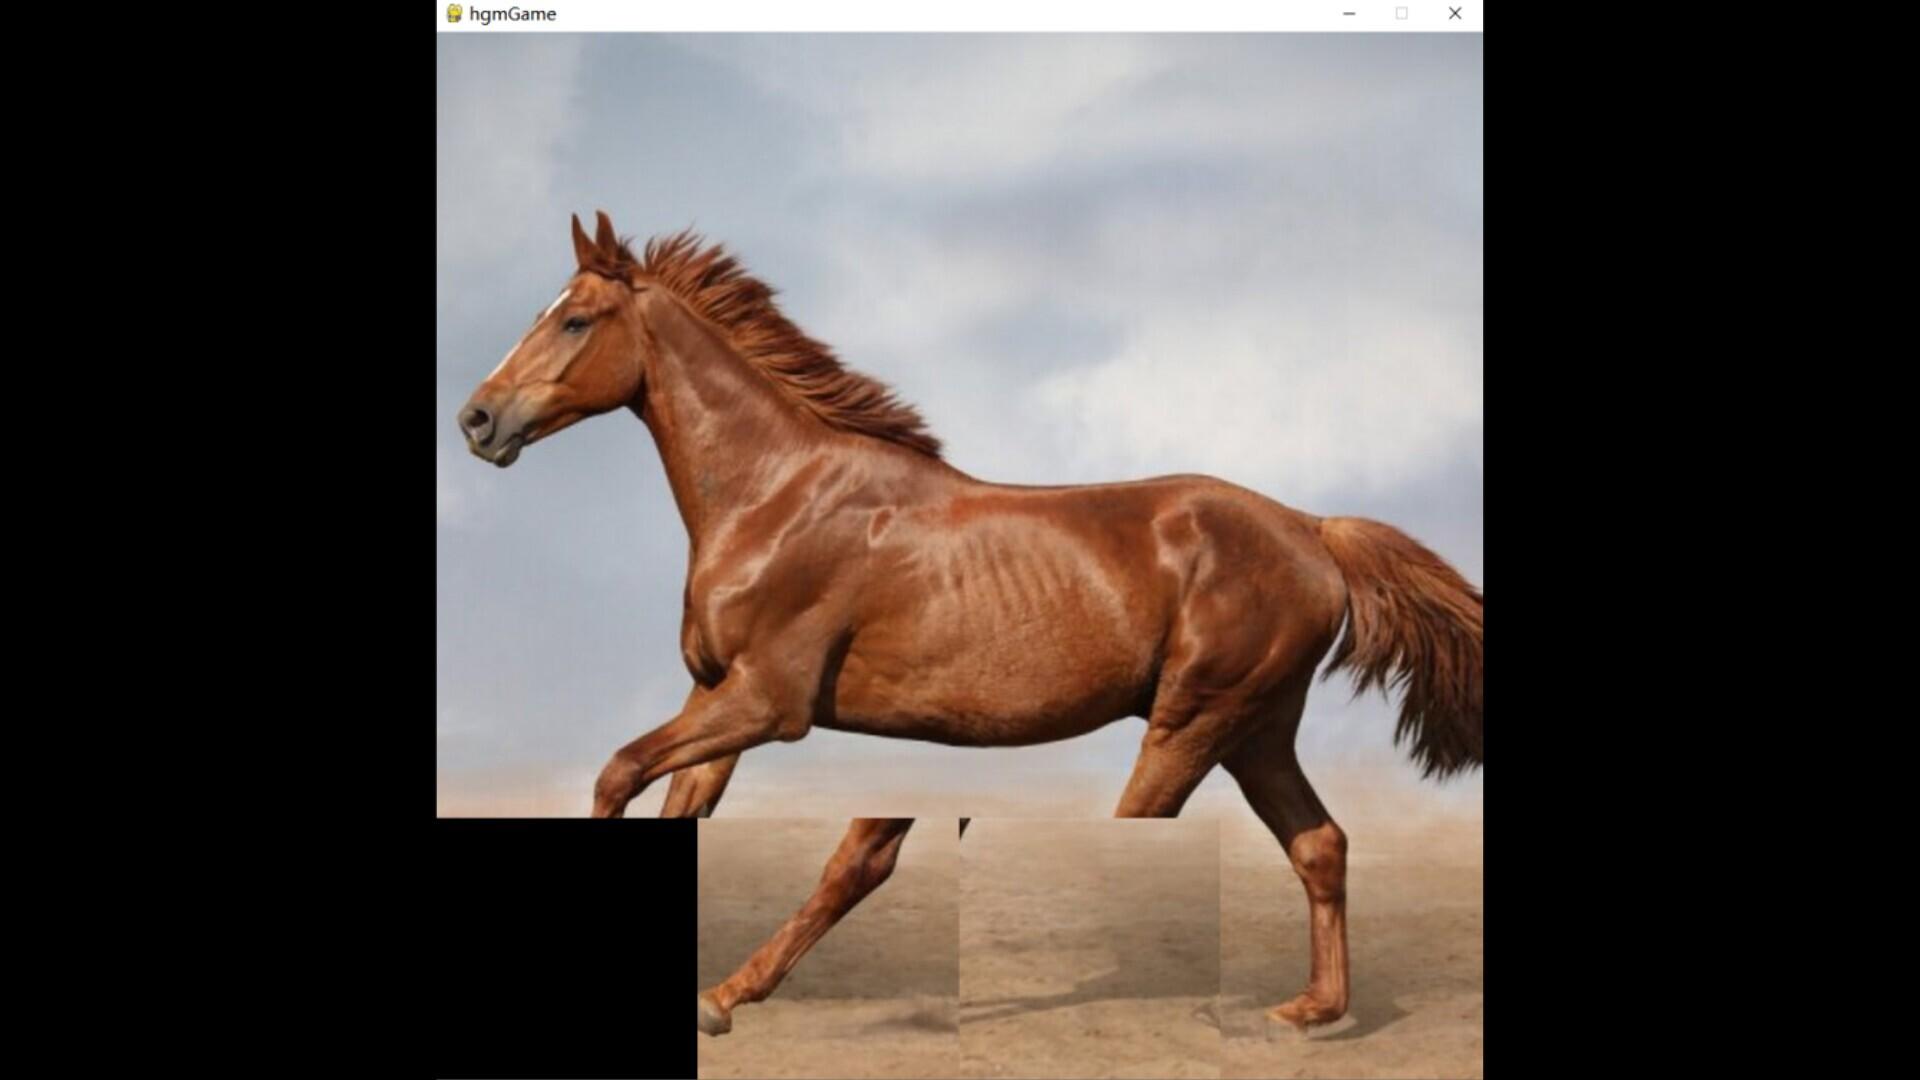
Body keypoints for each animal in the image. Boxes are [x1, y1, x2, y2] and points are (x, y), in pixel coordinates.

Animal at [457, 211, 1484, 1035]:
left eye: (574, 319)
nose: (477, 420)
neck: (777, 496)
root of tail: (1313, 529)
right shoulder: (717, 695)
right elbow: (695, 812)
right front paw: (718, 998)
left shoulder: (766, 703)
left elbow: (618, 772)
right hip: (1256, 730)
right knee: (1320, 845)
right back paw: (1311, 1011)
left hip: (1195, 722)